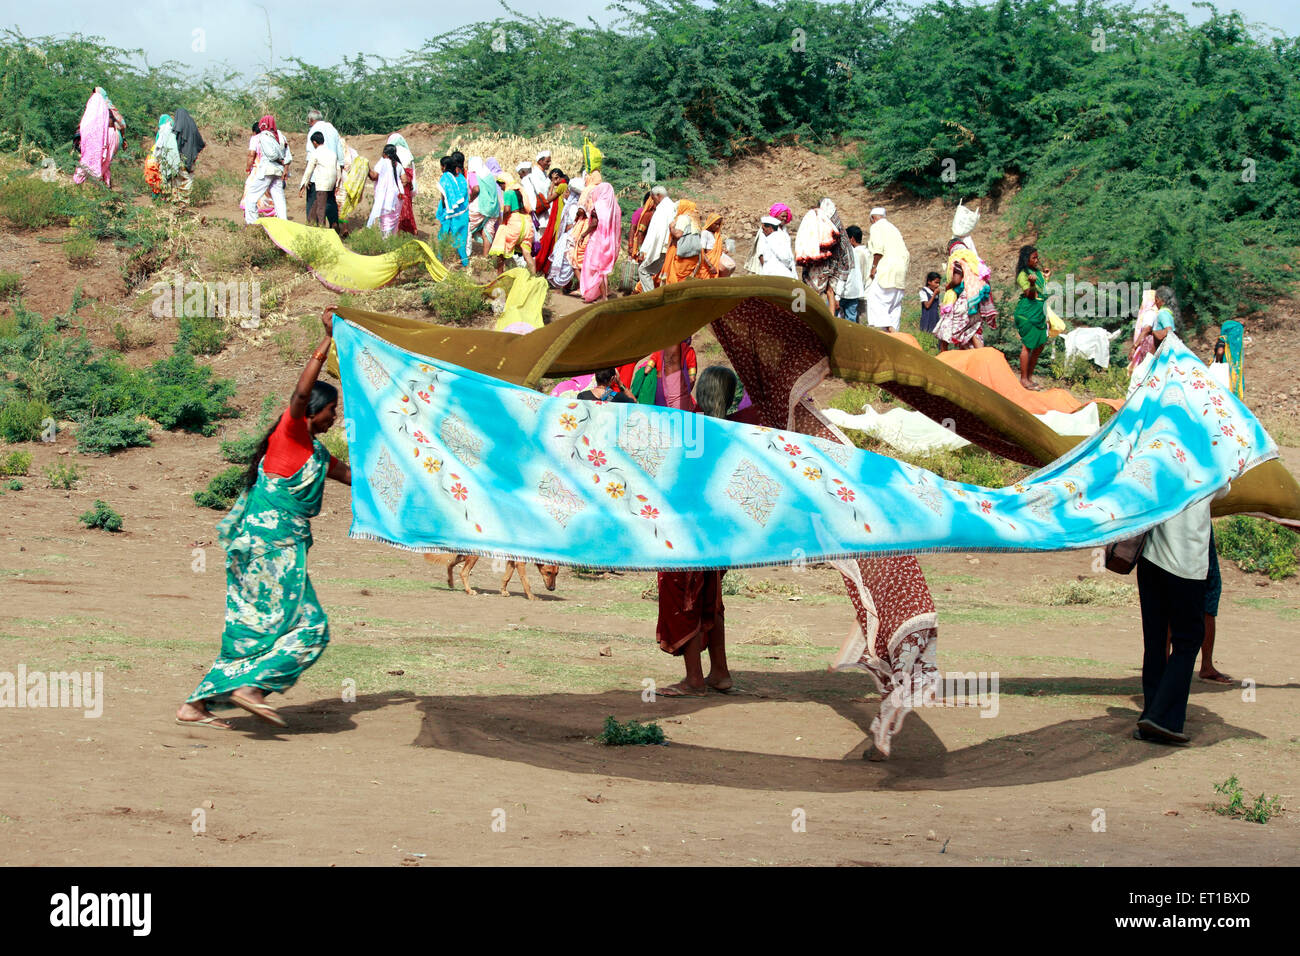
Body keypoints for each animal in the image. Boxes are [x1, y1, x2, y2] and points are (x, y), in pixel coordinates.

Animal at [421, 554, 553, 598]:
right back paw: (469, 590)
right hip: (473, 556)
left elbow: (506, 577)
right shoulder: (520, 563)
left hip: (464, 556)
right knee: (463, 572)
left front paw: (503, 591)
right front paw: (531, 596)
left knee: (450, 564)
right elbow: (526, 582)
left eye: (555, 573)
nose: (552, 588)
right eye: (549, 572)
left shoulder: (512, 561)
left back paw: (451, 583)